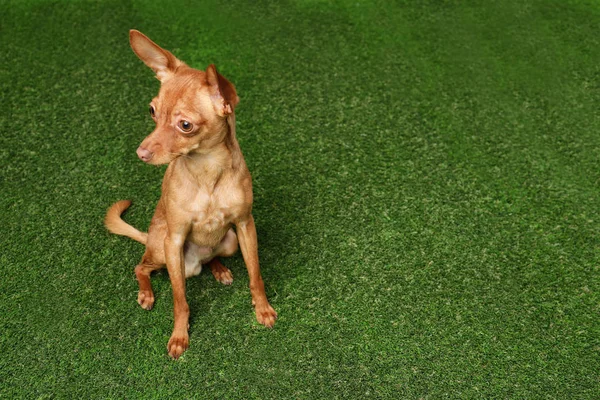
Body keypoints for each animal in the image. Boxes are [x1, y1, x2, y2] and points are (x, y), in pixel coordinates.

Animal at [105, 29, 276, 358]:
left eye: (185, 125)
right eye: (152, 111)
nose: (141, 153)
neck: (207, 172)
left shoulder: (245, 226)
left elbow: (255, 274)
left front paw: (262, 309)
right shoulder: (174, 239)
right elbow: (179, 299)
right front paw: (179, 336)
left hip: (230, 242)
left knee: (211, 258)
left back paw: (220, 270)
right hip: (162, 249)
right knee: (141, 266)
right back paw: (146, 293)